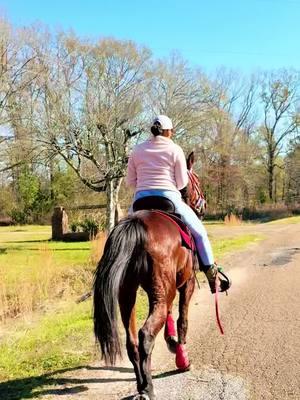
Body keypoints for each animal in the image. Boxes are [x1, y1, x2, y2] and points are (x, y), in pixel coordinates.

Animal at [92, 153, 203, 400]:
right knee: (145, 336)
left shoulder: (168, 289)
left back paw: (142, 383)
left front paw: (171, 342)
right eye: (197, 181)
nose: (203, 206)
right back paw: (148, 388)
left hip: (128, 294)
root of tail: (137, 225)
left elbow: (171, 317)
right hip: (161, 292)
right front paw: (182, 358)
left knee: (132, 341)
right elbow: (182, 320)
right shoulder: (186, 284)